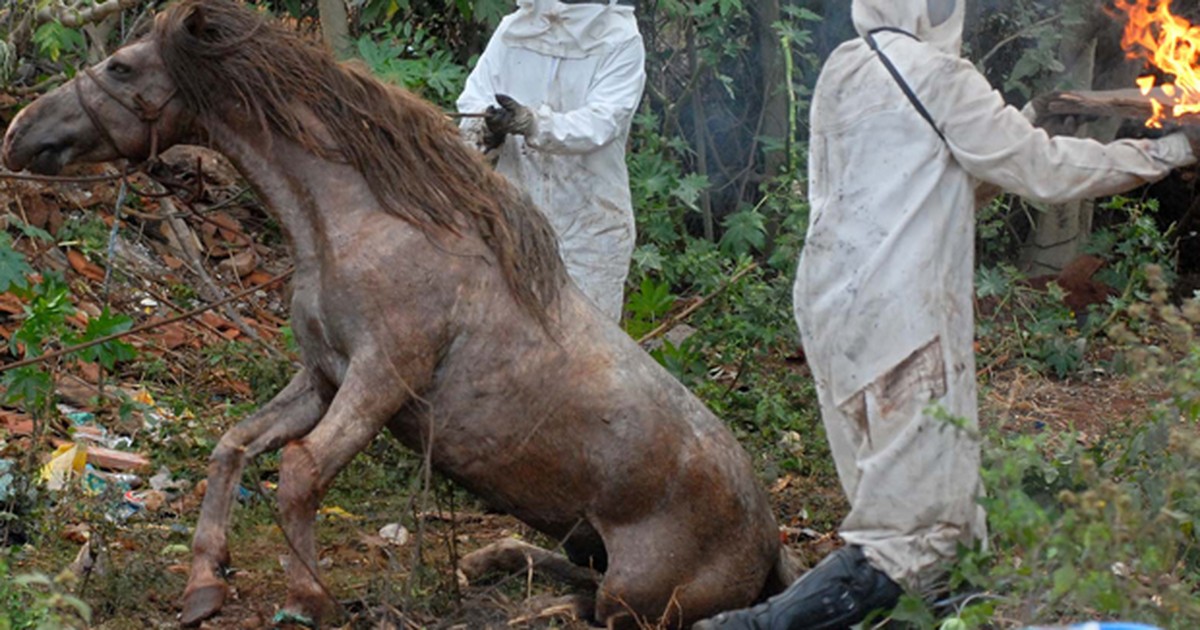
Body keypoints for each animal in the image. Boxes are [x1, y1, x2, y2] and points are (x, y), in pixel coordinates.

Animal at [4, 2, 792, 624]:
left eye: (121, 67)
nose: (17, 132)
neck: (361, 224)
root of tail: (770, 541)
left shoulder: (381, 379)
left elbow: (300, 472)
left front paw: (310, 598)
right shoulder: (323, 375)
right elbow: (234, 446)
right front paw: (205, 585)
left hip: (639, 594)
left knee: (601, 608)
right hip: (585, 538)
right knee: (574, 578)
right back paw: (490, 560)